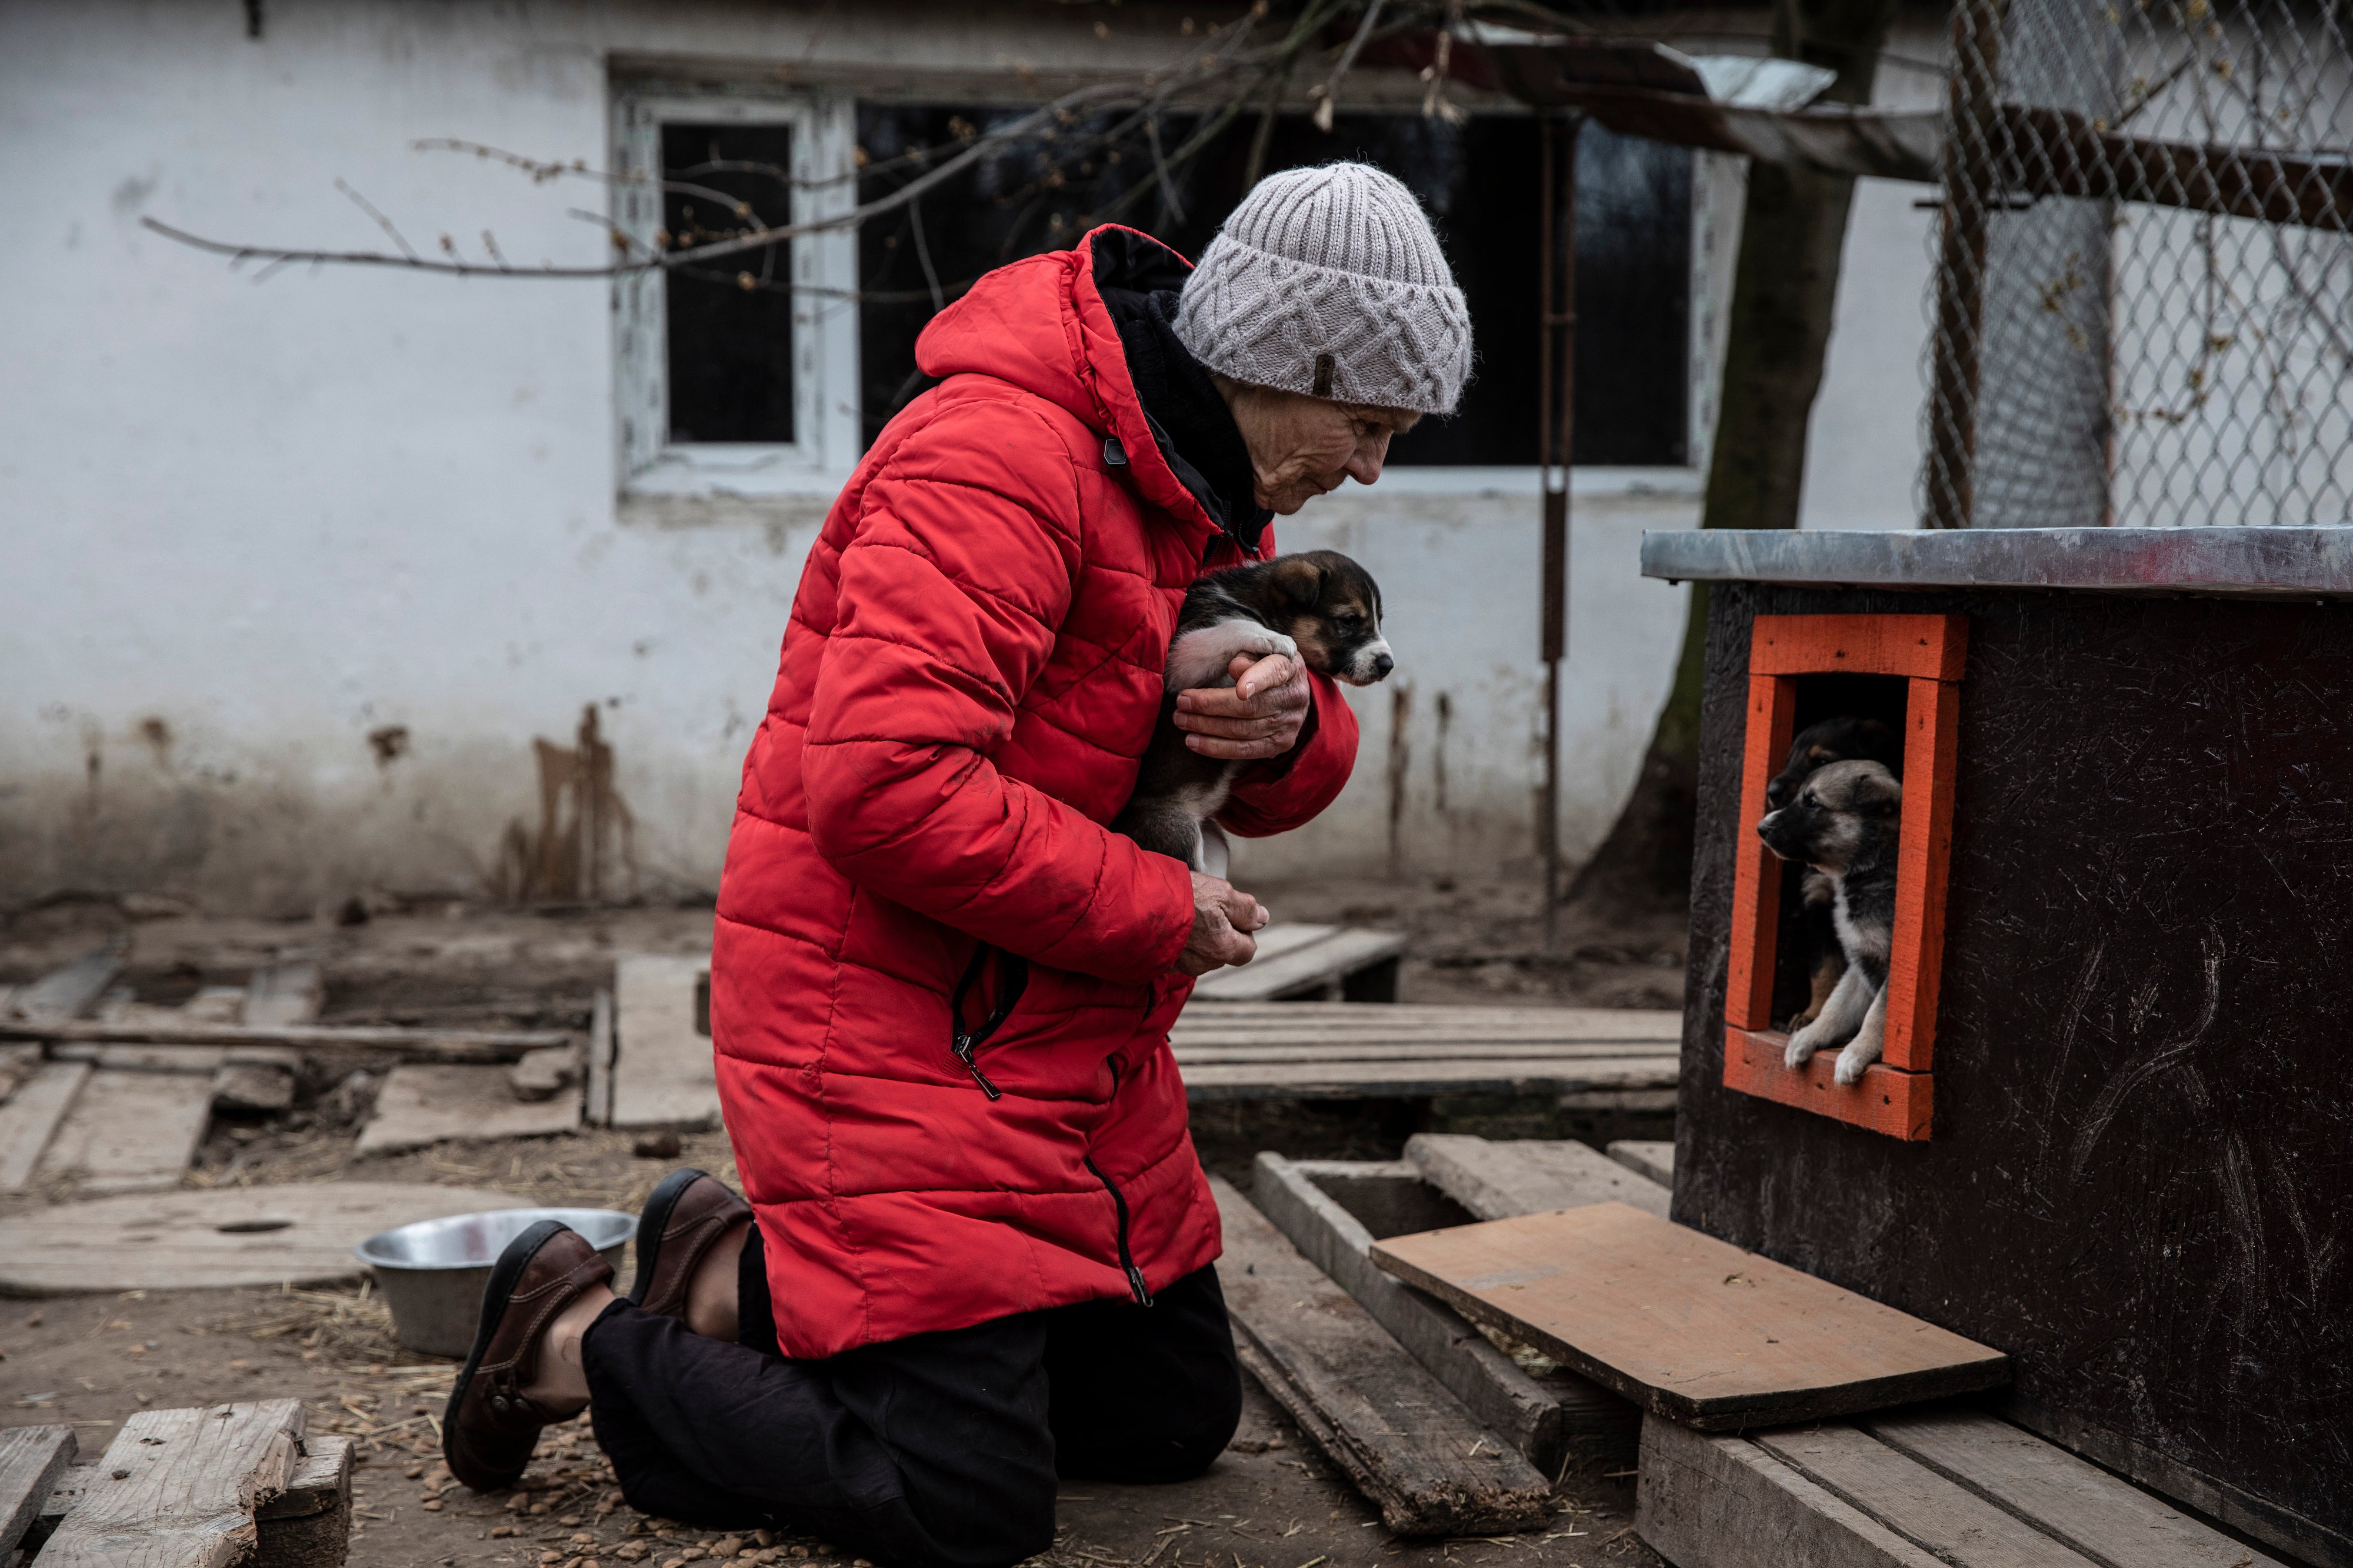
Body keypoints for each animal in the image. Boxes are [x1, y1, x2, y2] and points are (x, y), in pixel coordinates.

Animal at [1111, 548, 1384, 871]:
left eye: (1379, 621)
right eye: (1350, 620)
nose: (1388, 663)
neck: (1255, 603)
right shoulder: (1180, 659)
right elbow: (1235, 626)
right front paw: (1272, 638)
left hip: (1216, 846)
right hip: (1176, 832)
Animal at [1760, 758, 1901, 1083]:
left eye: (1813, 803)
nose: (1761, 827)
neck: (1869, 870)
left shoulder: (1890, 969)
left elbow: (1875, 1017)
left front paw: (1854, 1054)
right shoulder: (1860, 962)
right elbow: (1836, 1006)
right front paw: (1806, 1036)